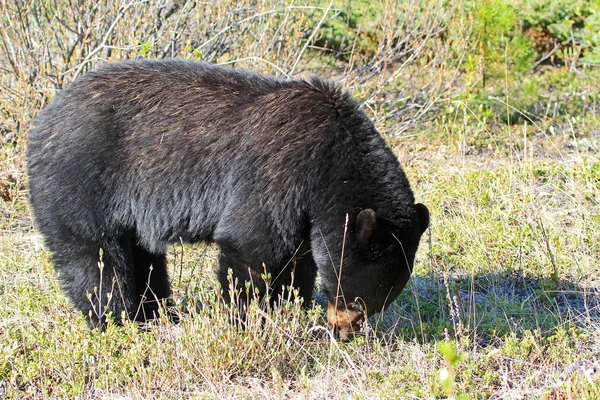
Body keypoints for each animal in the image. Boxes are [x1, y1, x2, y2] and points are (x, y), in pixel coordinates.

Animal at [25, 60, 428, 340]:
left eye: (375, 304)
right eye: (355, 300)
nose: (345, 333)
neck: (331, 162)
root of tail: (42, 118)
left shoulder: (303, 210)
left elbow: (296, 262)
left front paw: (287, 309)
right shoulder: (279, 172)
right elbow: (250, 247)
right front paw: (246, 319)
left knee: (142, 256)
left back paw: (158, 315)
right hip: (83, 181)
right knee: (94, 258)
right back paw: (115, 321)